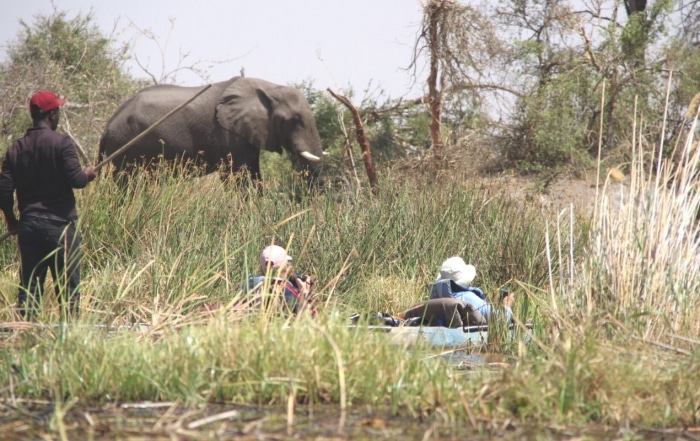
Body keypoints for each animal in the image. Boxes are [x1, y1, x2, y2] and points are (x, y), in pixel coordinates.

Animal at [98, 75, 326, 184]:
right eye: (294, 120)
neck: (269, 88)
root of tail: (107, 127)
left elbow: (254, 175)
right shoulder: (229, 134)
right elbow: (237, 176)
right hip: (127, 146)